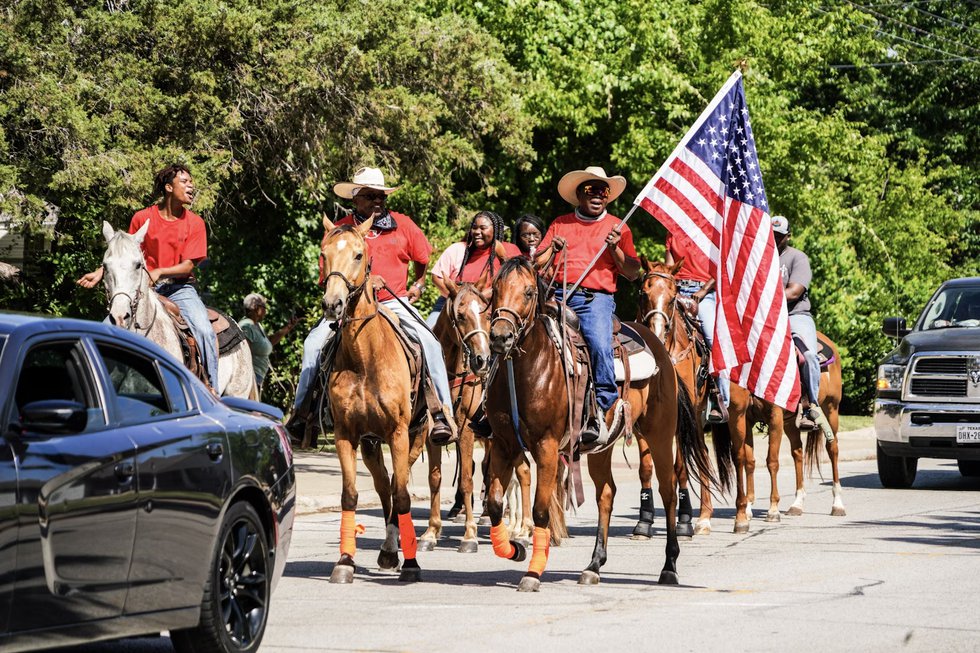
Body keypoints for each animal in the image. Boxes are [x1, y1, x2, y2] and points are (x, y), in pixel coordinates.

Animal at [320, 216, 430, 584]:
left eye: (358, 254)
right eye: (323, 254)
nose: (333, 304)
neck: (365, 358)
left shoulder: (398, 433)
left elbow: (403, 495)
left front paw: (411, 564)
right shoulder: (345, 434)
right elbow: (351, 494)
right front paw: (344, 561)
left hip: (416, 436)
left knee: (396, 486)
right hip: (370, 444)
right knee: (383, 486)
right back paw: (388, 550)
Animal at [428, 276, 536, 552]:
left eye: (487, 316)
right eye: (460, 315)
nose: (483, 359)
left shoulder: (467, 429)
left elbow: (467, 479)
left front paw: (469, 535)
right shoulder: (431, 433)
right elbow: (435, 478)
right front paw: (430, 532)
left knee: (522, 475)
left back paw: (524, 529)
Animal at [486, 258, 716, 592]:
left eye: (528, 292)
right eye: (495, 289)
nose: (500, 337)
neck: (526, 370)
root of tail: (661, 348)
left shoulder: (547, 447)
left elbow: (540, 510)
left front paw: (532, 573)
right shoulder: (504, 444)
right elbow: (493, 504)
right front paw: (514, 549)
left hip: (660, 435)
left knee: (669, 491)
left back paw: (669, 566)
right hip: (602, 445)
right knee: (606, 493)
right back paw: (593, 565)